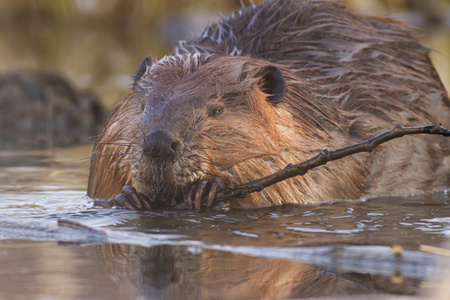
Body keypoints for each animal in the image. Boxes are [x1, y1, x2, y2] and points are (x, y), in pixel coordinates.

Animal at [86, 0, 448, 210]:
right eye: (143, 105)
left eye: (216, 110)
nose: (159, 143)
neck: (312, 105)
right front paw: (128, 194)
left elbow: (300, 180)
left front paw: (207, 189)